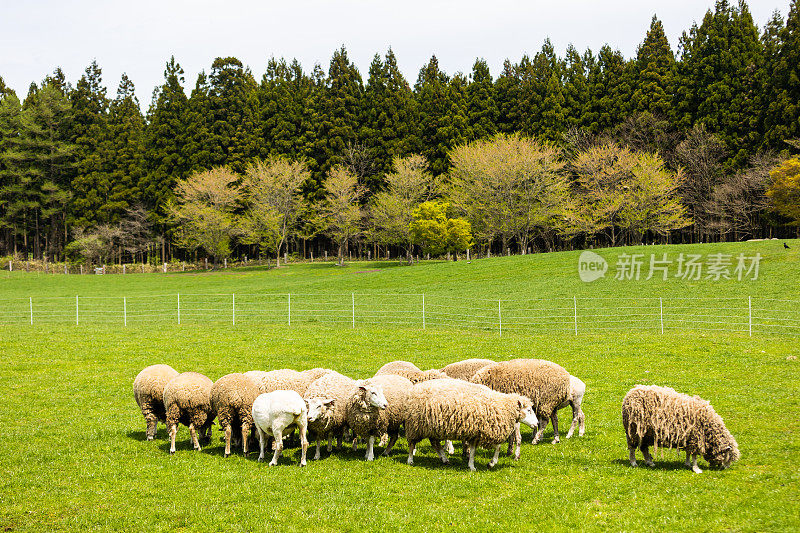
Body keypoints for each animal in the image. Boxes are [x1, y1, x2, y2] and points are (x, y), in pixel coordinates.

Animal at [400, 378, 536, 470]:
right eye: (529, 410)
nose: (537, 423)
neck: (501, 406)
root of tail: (413, 390)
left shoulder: (477, 433)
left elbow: (490, 448)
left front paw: (481, 464)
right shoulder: (482, 431)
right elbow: (491, 448)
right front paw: (483, 464)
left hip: (431, 427)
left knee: (435, 443)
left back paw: (445, 459)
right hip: (415, 426)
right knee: (412, 444)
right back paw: (410, 460)